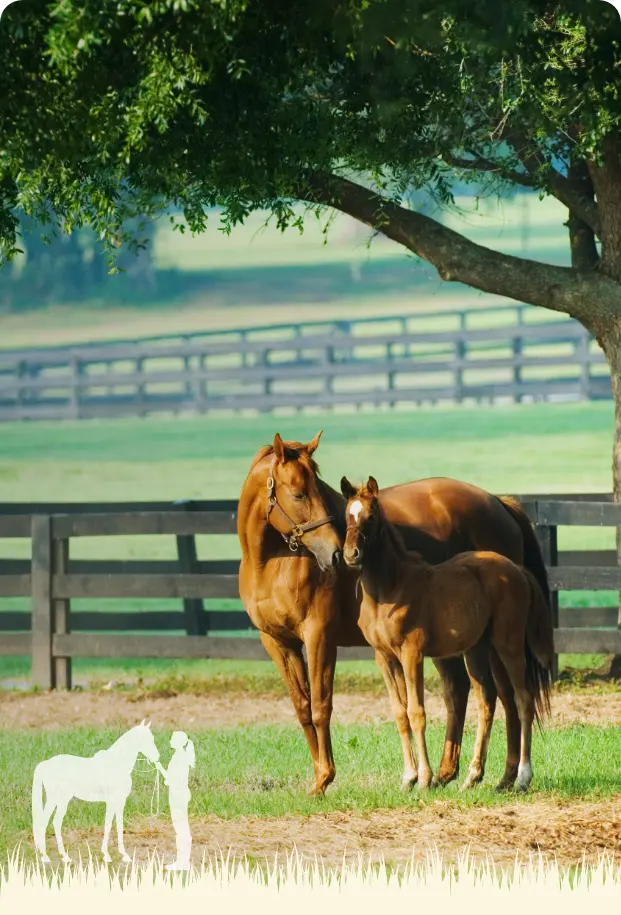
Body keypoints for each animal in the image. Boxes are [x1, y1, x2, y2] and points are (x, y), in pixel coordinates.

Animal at [342, 480, 556, 796]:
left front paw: (424, 778)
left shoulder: (412, 652)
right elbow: (400, 713)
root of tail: (516, 569)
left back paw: (521, 778)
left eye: (371, 515)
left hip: (508, 645)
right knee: (486, 701)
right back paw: (473, 776)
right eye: (347, 515)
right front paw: (408, 777)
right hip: (477, 650)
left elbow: (416, 712)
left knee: (522, 699)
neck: (388, 590)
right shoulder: (384, 657)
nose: (351, 554)